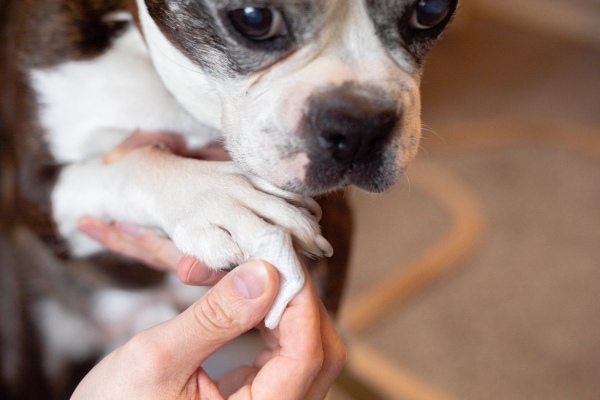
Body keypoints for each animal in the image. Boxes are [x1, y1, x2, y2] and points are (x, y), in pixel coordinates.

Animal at [1, 0, 460, 396]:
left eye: (431, 10)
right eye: (254, 19)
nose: (360, 125)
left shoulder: (335, 217)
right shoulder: (33, 193)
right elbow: (129, 162)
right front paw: (222, 198)